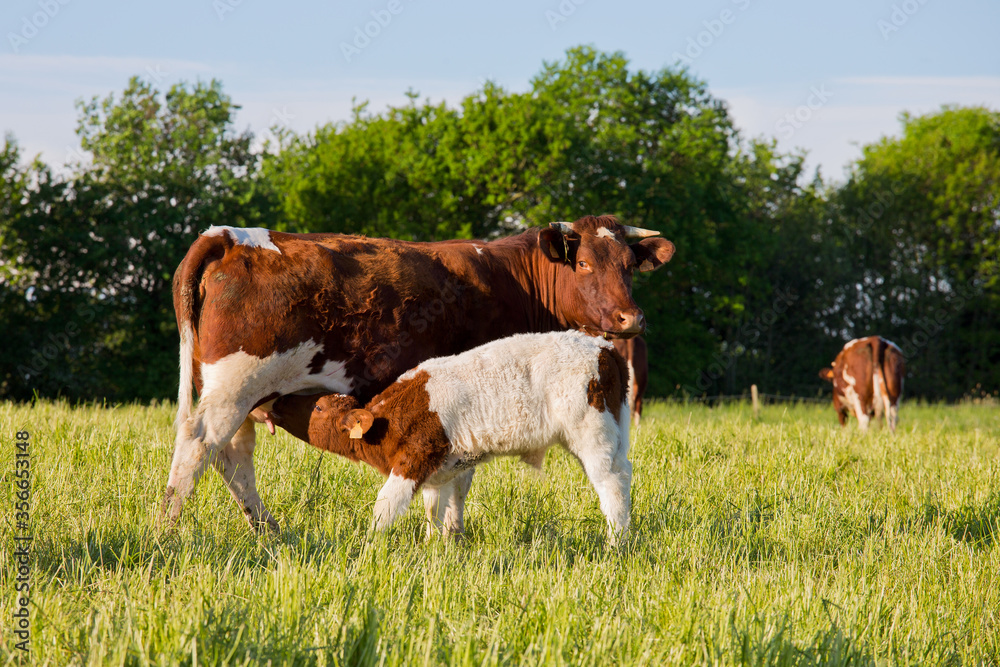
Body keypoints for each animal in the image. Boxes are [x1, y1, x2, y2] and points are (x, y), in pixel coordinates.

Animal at [252, 330, 632, 543]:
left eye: (318, 407)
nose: (279, 401)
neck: (388, 419)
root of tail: (601, 345)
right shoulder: (443, 469)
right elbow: (436, 508)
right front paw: (436, 545)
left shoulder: (415, 458)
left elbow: (385, 505)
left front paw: (369, 545)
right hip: (618, 428)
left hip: (592, 432)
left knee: (610, 482)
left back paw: (616, 542)